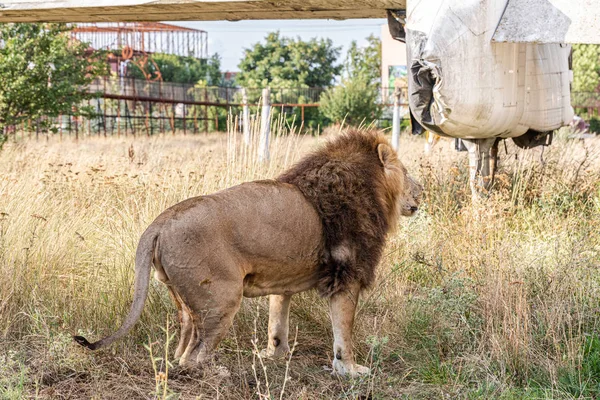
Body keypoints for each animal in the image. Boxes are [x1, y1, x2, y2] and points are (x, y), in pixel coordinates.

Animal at [74, 129, 422, 378]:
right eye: (406, 172)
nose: (422, 193)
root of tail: (159, 222)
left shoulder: (283, 280)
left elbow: (276, 323)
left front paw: (274, 356)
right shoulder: (347, 276)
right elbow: (344, 334)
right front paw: (350, 370)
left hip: (184, 300)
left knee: (181, 349)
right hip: (223, 297)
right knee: (192, 358)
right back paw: (219, 373)